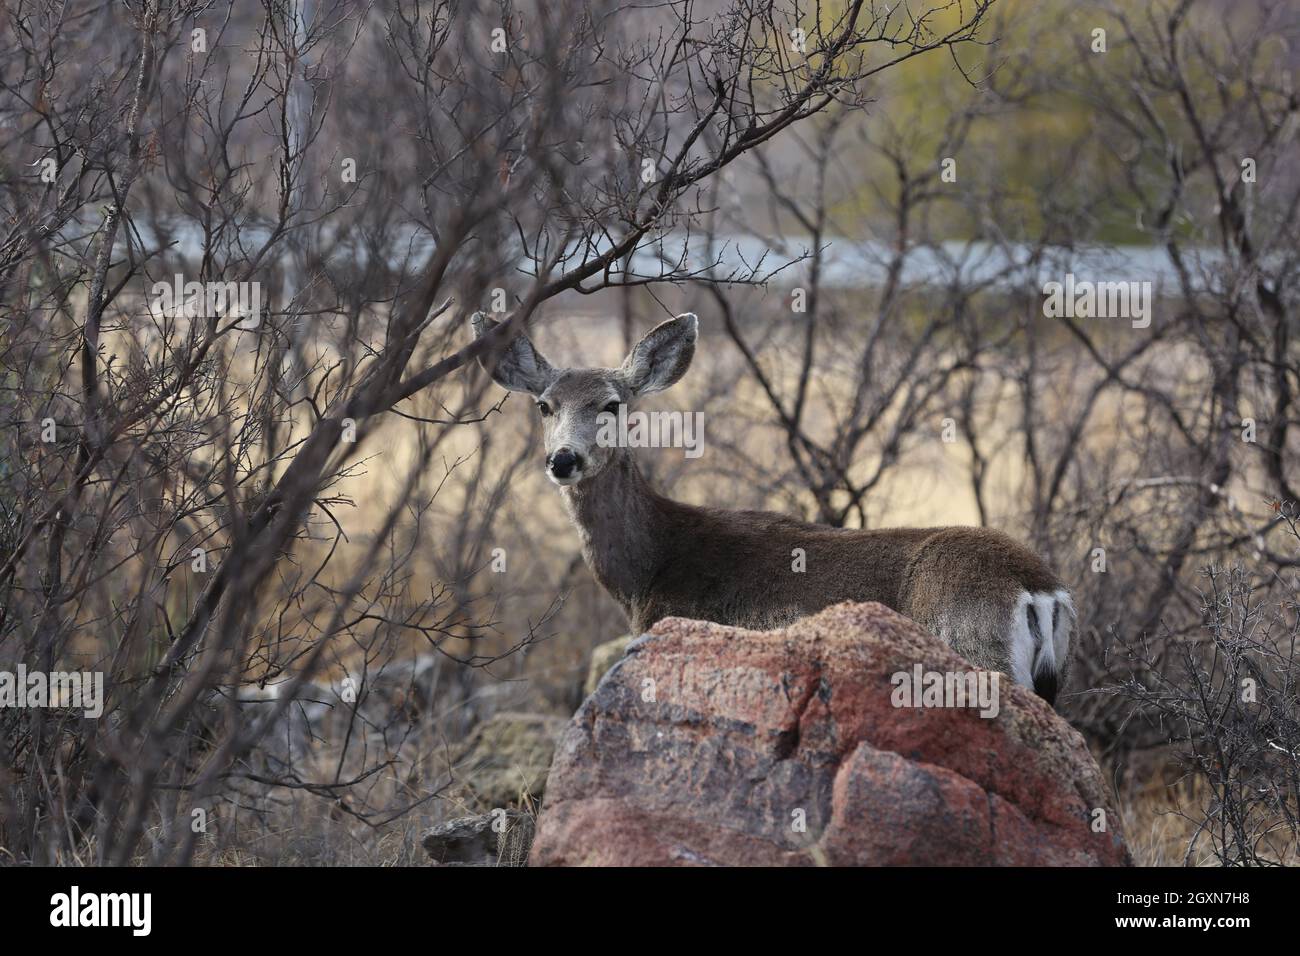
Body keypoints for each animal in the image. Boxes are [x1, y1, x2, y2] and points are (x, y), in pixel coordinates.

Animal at [471, 311, 1074, 705]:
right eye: (544, 405)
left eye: (612, 405)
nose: (563, 459)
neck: (649, 571)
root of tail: (1039, 589)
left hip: (972, 648)